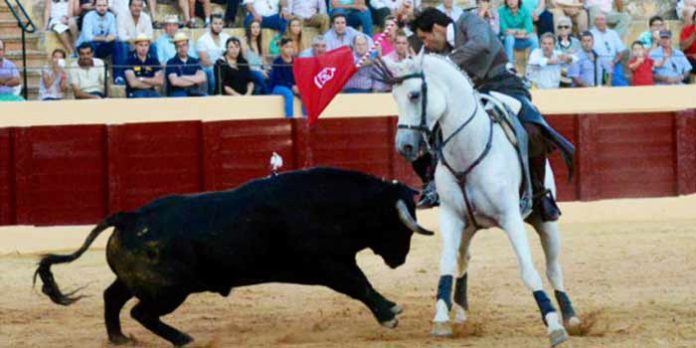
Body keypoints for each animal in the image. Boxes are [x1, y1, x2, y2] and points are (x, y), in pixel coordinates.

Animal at [35, 166, 436, 346]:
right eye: (399, 226)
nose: (399, 259)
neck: (335, 205)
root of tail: (129, 216)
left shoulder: (333, 264)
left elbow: (360, 284)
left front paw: (389, 309)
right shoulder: (328, 266)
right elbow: (359, 285)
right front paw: (390, 313)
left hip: (140, 282)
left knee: (112, 298)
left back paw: (120, 339)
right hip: (170, 290)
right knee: (141, 312)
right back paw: (183, 339)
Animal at [380, 53, 580, 346]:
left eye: (415, 95)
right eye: (393, 96)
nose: (404, 146)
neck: (466, 149)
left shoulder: (510, 217)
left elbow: (528, 269)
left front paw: (554, 325)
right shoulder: (451, 216)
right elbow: (446, 264)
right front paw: (441, 318)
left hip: (545, 223)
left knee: (553, 267)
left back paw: (570, 316)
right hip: (469, 226)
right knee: (463, 259)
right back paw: (461, 311)